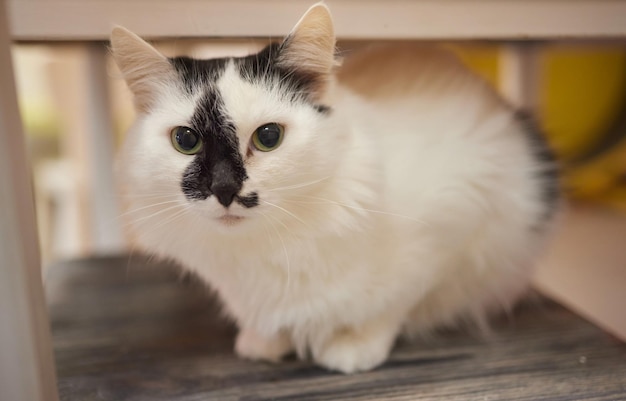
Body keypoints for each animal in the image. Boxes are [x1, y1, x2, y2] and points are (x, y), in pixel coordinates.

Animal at [109, 2, 560, 372]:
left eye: (268, 137)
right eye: (186, 140)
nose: (223, 188)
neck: (268, 245)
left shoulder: (453, 226)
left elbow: (392, 304)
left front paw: (353, 346)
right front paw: (266, 341)